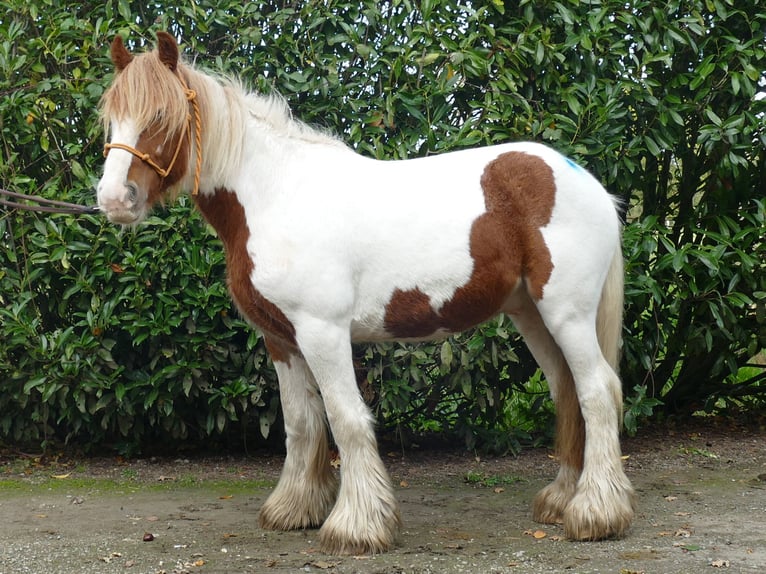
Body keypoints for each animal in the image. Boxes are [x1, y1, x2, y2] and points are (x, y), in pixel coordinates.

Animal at [96, 32, 636, 560]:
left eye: (160, 117)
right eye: (112, 120)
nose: (114, 199)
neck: (277, 195)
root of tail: (589, 183)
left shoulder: (322, 332)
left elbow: (346, 419)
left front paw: (357, 526)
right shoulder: (281, 339)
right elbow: (302, 423)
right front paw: (294, 508)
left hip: (567, 314)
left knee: (597, 391)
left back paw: (595, 513)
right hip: (532, 316)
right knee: (568, 391)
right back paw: (562, 500)